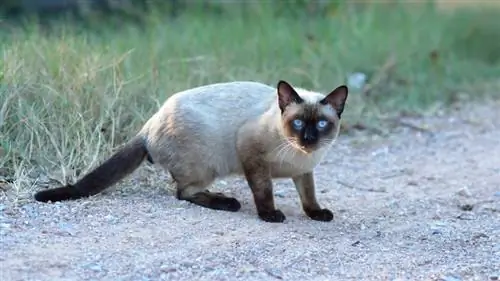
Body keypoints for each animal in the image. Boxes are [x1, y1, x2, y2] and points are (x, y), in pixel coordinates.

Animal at [34, 80, 348, 222]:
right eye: (298, 123)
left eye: (322, 123)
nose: (308, 138)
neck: (300, 155)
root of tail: (148, 125)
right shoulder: (251, 153)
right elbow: (264, 191)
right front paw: (270, 215)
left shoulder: (304, 171)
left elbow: (309, 195)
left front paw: (316, 213)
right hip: (208, 164)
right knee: (183, 192)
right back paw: (227, 202)